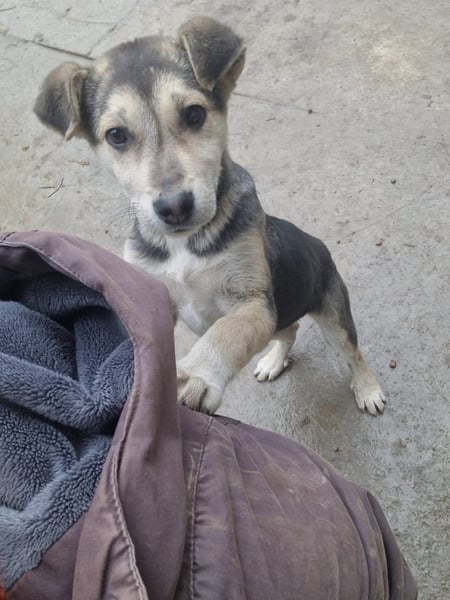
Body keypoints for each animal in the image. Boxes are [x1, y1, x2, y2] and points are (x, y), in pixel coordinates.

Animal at [34, 16, 386, 416]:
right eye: (116, 136)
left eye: (194, 114)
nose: (174, 207)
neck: (183, 242)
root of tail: (318, 244)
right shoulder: (159, 297)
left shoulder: (251, 302)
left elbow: (225, 332)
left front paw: (195, 376)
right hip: (281, 310)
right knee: (290, 329)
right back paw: (273, 360)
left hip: (330, 312)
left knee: (353, 352)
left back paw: (367, 388)